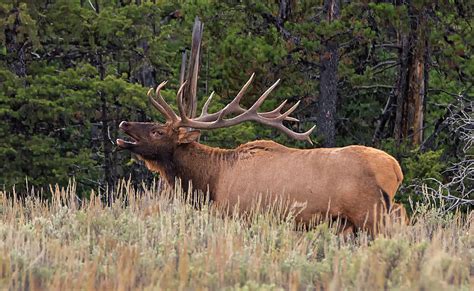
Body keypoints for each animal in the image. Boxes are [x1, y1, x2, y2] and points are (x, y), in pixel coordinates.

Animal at [115, 73, 404, 235]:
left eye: (157, 132)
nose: (124, 124)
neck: (213, 181)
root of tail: (395, 170)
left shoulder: (241, 213)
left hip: (370, 214)